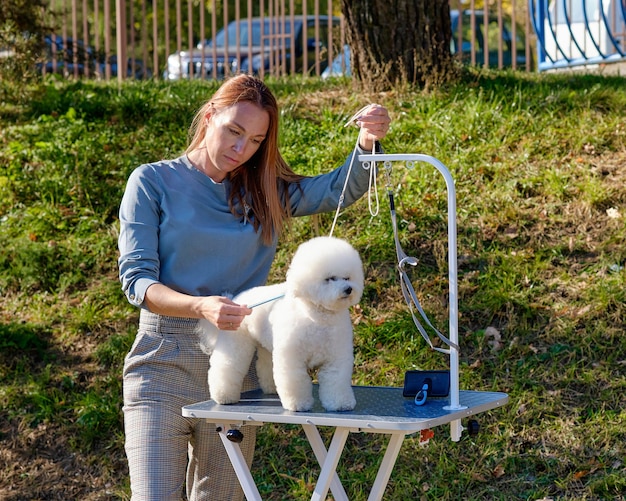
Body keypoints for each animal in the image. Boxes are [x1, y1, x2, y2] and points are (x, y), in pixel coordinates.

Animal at [197, 236, 364, 412]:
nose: (348, 289)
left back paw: (270, 389)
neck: (317, 317)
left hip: (266, 346)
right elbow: (295, 380)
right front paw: (298, 404)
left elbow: (336, 379)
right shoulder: (292, 357)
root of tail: (236, 300)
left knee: (264, 365)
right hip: (235, 342)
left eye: (347, 277)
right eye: (330, 279)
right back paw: (224, 396)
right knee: (227, 366)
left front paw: (340, 404)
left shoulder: (336, 357)